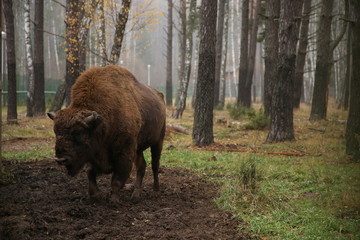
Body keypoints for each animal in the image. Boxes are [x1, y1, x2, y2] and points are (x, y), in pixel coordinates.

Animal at [47, 65, 167, 202]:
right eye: (56, 131)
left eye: (78, 133)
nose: (61, 159)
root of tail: (159, 95)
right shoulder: (93, 153)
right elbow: (90, 172)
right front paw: (95, 194)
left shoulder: (124, 153)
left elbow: (116, 180)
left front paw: (114, 200)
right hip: (138, 148)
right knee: (141, 166)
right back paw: (136, 194)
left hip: (158, 141)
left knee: (155, 165)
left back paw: (156, 191)